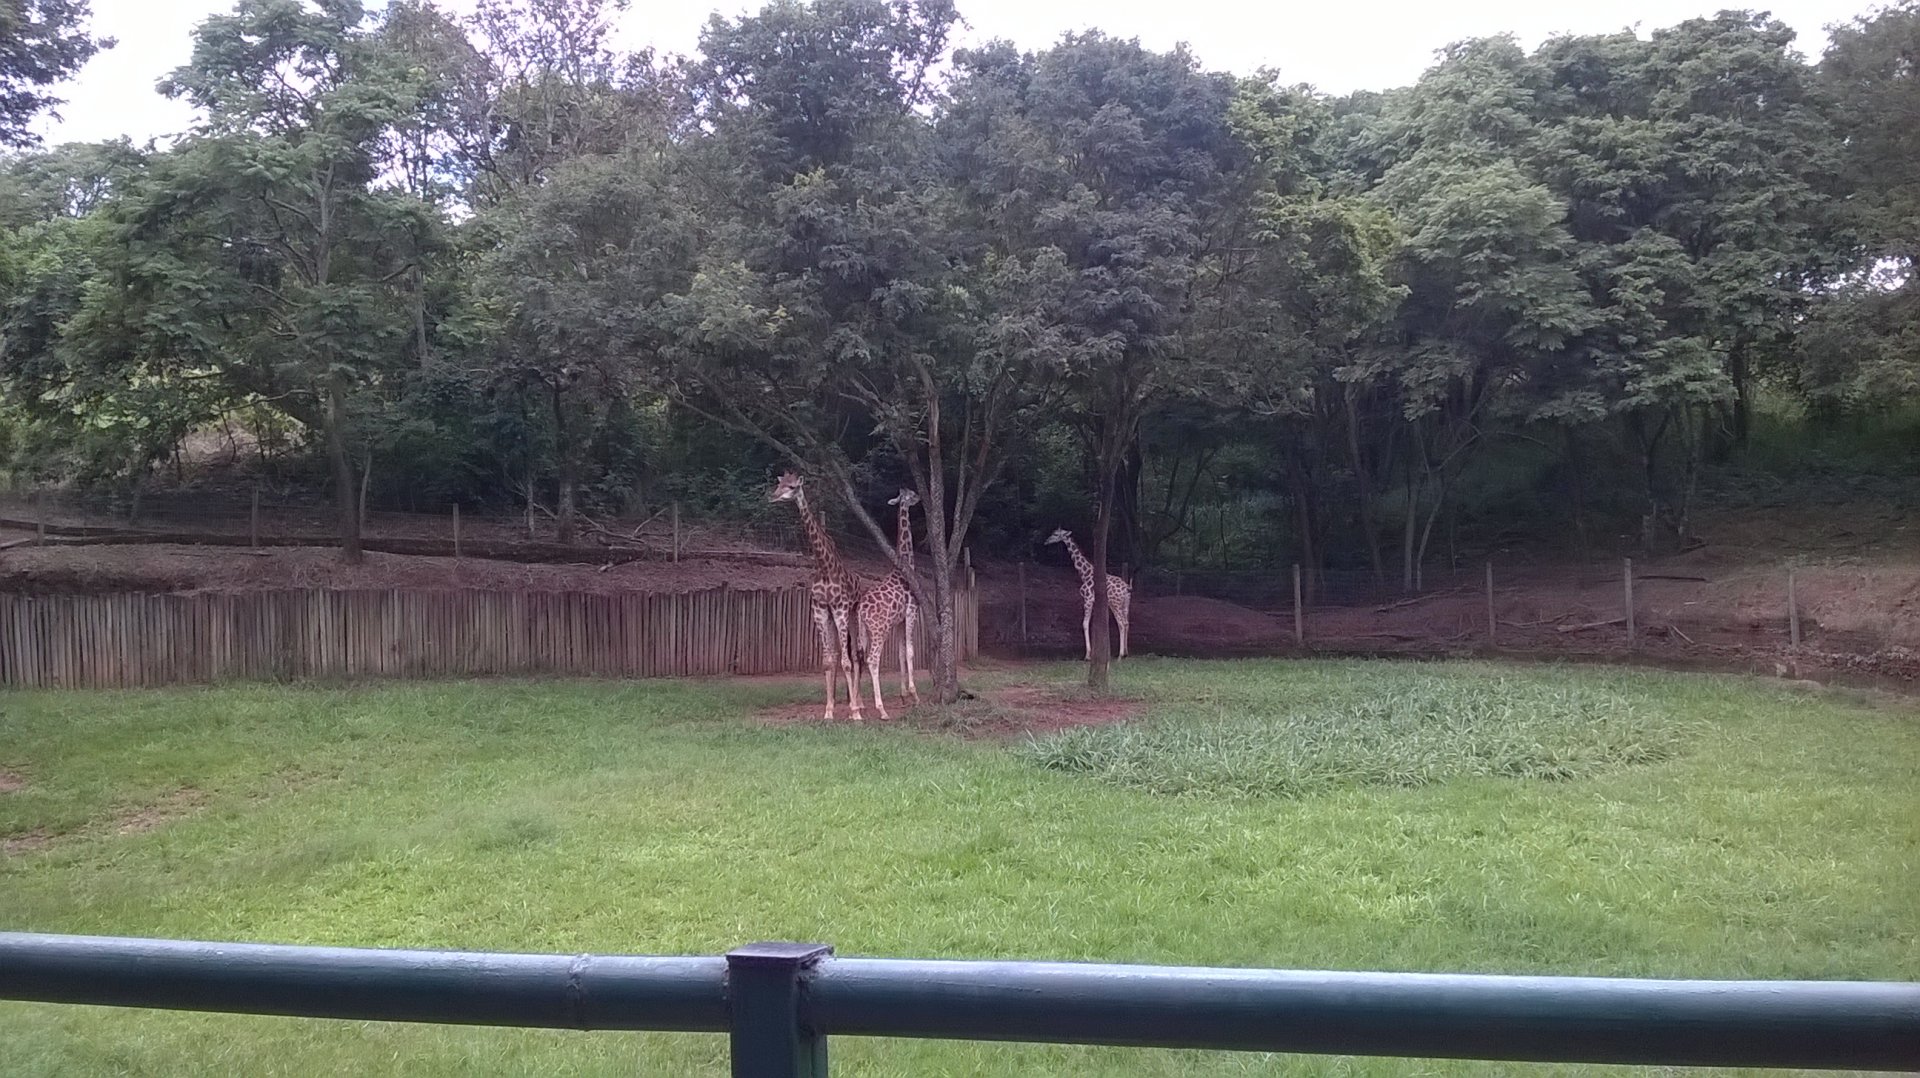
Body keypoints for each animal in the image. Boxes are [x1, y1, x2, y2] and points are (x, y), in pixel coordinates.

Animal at [769, 471, 866, 721]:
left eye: (792, 487)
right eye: (779, 484)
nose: (772, 497)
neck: (824, 567)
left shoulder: (840, 608)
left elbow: (846, 661)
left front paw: (854, 713)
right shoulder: (821, 610)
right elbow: (828, 661)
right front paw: (829, 710)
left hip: (852, 615)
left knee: (856, 655)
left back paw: (859, 703)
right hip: (833, 617)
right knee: (841, 653)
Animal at [853, 489, 922, 719]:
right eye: (911, 494)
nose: (919, 498)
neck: (905, 568)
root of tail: (861, 610)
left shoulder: (900, 620)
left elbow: (901, 653)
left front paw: (903, 696)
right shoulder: (911, 612)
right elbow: (910, 651)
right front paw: (914, 696)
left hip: (863, 631)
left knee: (858, 658)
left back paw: (858, 705)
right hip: (879, 629)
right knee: (873, 660)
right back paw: (881, 709)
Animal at [1046, 528, 1131, 661]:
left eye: (1055, 534)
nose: (1046, 541)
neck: (1085, 574)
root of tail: (1126, 588)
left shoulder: (1087, 599)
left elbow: (1085, 624)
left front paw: (1087, 655)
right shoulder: (1096, 602)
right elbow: (1096, 625)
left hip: (1115, 603)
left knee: (1121, 623)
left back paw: (1120, 655)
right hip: (1124, 604)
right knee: (1126, 623)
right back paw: (1125, 653)